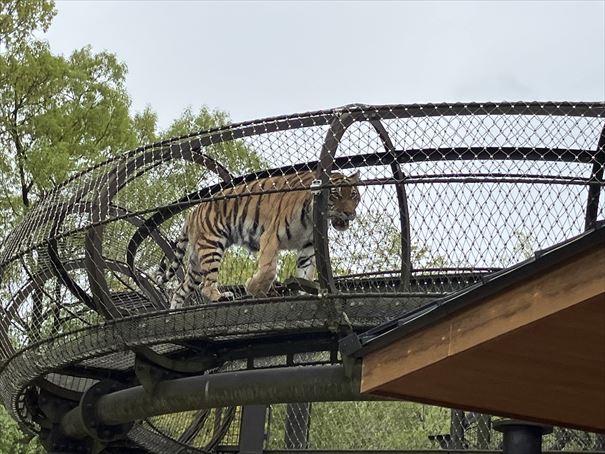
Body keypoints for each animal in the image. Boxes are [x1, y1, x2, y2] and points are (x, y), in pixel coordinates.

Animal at [158, 170, 360, 308]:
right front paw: (253, 287)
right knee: (205, 285)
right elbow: (268, 269)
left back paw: (174, 313)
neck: (312, 217)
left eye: (354, 196)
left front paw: (304, 292)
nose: (349, 213)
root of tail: (192, 212)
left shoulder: (308, 246)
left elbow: (305, 272)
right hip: (211, 246)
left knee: (180, 289)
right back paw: (221, 296)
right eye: (336, 195)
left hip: (196, 262)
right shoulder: (270, 236)